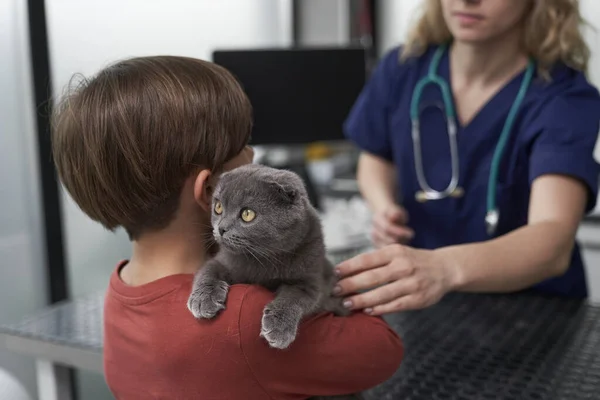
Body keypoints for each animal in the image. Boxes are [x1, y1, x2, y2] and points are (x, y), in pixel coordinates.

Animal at [188, 164, 360, 400]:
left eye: (247, 214)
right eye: (219, 207)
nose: (221, 228)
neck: (263, 262)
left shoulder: (311, 281)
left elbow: (293, 298)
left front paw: (278, 328)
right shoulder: (223, 260)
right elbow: (208, 271)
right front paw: (203, 301)